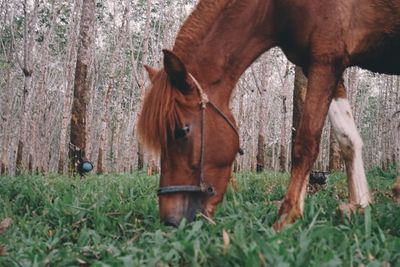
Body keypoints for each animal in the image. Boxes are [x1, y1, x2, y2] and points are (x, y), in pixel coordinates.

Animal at [138, 0, 400, 230]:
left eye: (182, 131)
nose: (171, 221)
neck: (276, 7)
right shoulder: (323, 66)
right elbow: (348, 139)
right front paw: (359, 205)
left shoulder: (326, 60)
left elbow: (305, 143)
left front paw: (287, 216)